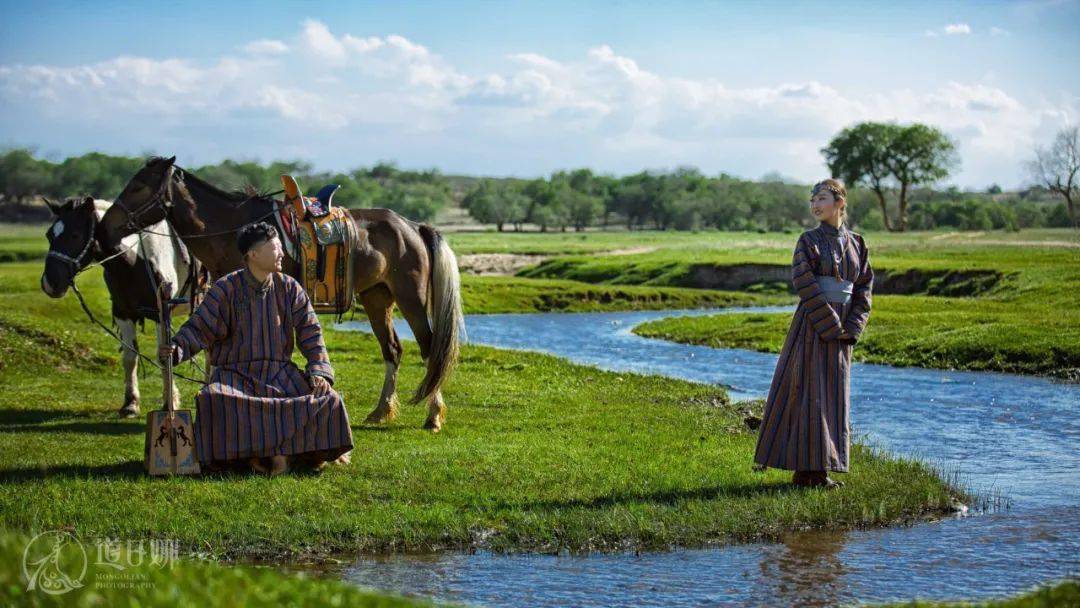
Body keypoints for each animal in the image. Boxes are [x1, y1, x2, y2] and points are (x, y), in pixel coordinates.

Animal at [41, 195, 198, 419]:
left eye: (75, 234)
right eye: (49, 235)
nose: (50, 283)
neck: (134, 260)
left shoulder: (161, 314)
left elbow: (163, 358)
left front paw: (170, 403)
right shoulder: (123, 313)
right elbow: (130, 358)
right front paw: (130, 404)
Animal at [102, 156, 468, 431]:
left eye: (138, 186)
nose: (108, 226)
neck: (233, 230)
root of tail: (413, 226)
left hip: (412, 299)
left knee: (429, 348)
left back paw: (433, 416)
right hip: (377, 298)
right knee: (392, 350)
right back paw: (381, 411)